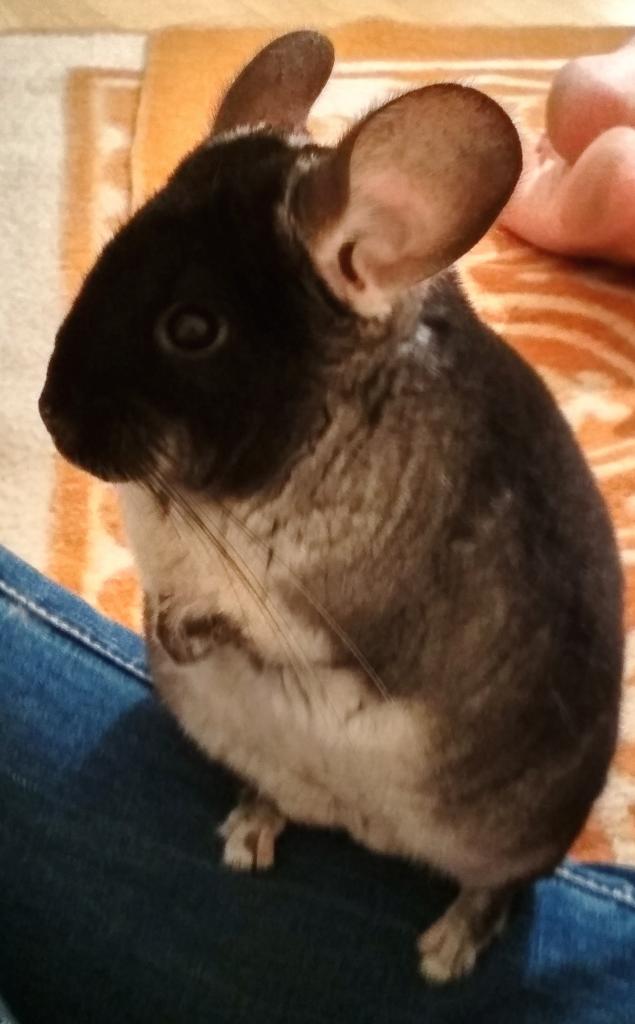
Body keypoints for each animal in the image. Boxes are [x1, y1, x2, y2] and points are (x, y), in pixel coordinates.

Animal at [39, 31, 623, 984]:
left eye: (192, 329)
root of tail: (367, 827)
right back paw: (249, 831)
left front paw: (183, 631)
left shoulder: (341, 617)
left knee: (500, 888)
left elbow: (256, 629)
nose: (50, 412)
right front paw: (163, 624)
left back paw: (445, 949)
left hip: (517, 835)